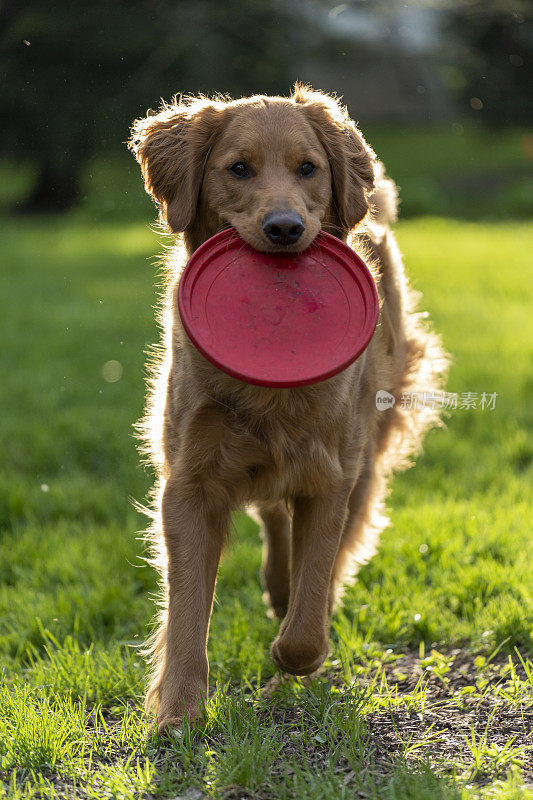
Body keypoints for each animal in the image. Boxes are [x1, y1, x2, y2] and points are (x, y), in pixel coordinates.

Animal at [128, 83, 444, 732]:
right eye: (238, 169)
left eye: (308, 169)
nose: (284, 228)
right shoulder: (190, 484)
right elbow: (188, 606)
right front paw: (179, 710)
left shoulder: (332, 476)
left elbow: (309, 609)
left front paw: (290, 657)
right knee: (273, 517)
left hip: (367, 455)